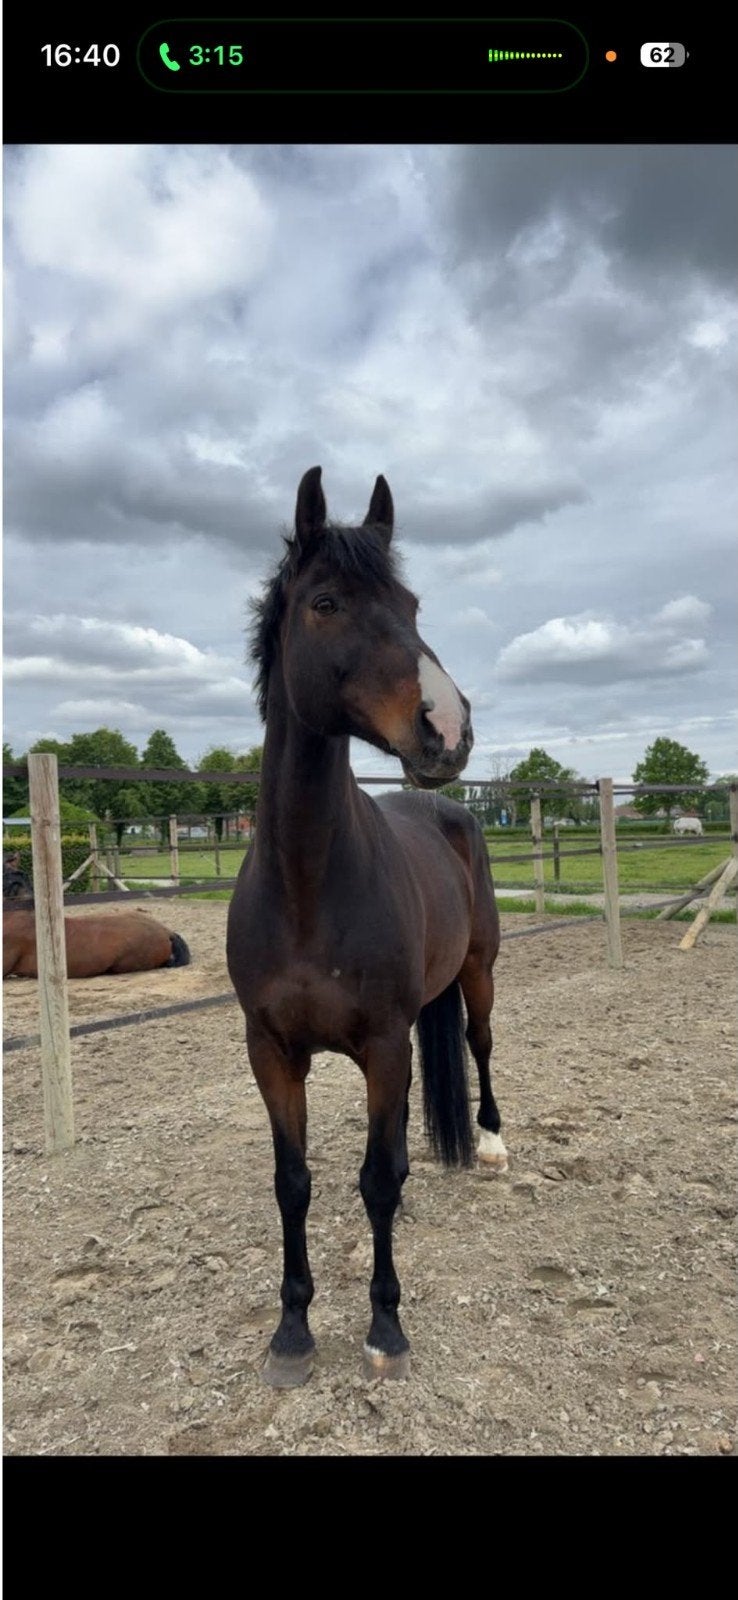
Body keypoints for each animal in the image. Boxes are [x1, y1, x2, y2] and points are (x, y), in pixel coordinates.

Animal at [226, 465, 506, 1388]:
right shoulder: (273, 1051)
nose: (448, 727)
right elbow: (296, 1181)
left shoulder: (383, 1043)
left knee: (480, 1046)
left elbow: (376, 1178)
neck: (309, 886)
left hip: (480, 973)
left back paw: (492, 1143)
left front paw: (385, 1327)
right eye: (325, 603)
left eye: (411, 606)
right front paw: (291, 1332)